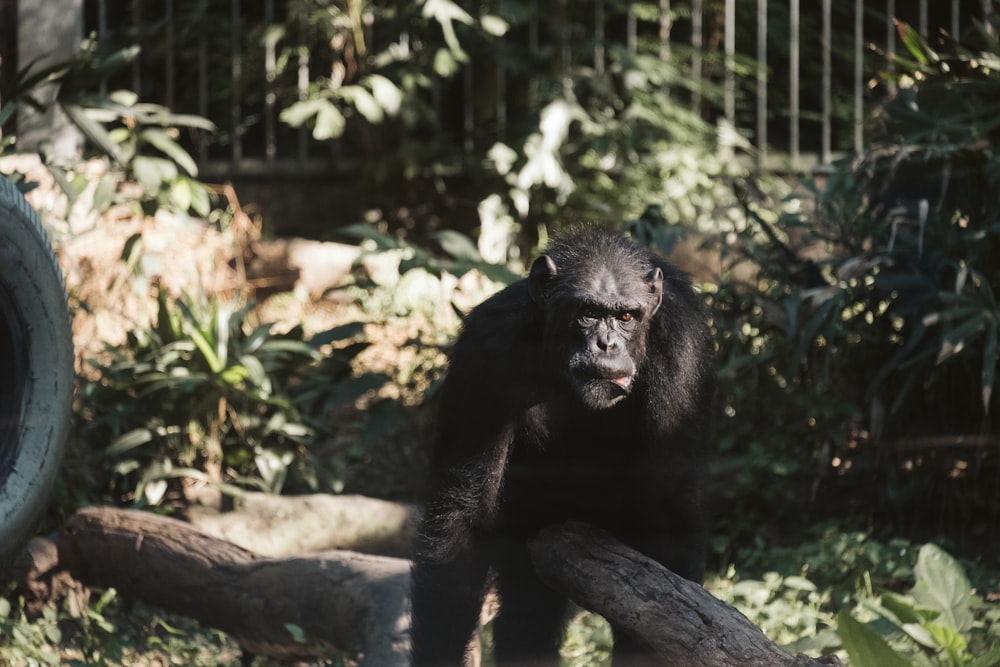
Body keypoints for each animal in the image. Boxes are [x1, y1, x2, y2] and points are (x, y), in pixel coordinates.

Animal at [410, 227, 716, 664]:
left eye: (626, 316)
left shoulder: (683, 350)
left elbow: (665, 506)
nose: (607, 344)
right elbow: (461, 517)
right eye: (587, 312)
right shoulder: (483, 350)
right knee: (528, 614)